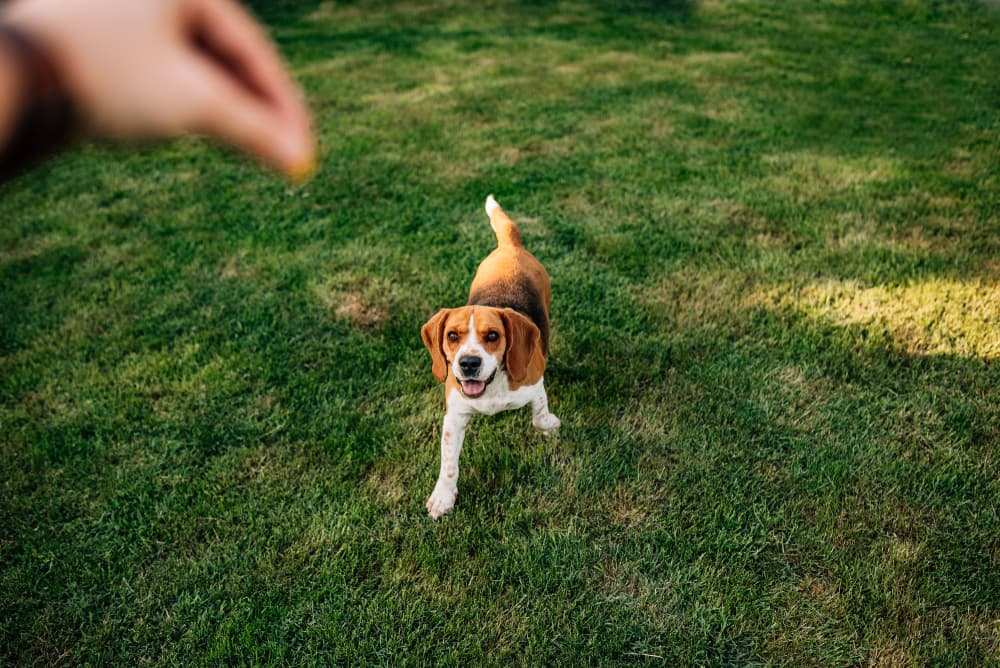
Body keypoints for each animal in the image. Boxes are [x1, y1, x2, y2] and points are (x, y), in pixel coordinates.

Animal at [422, 196, 564, 520]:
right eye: (452, 336)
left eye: (492, 336)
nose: (468, 364)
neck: (492, 386)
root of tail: (509, 246)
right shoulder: (455, 415)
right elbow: (448, 463)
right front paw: (443, 497)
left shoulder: (535, 385)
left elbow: (539, 417)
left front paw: (550, 425)